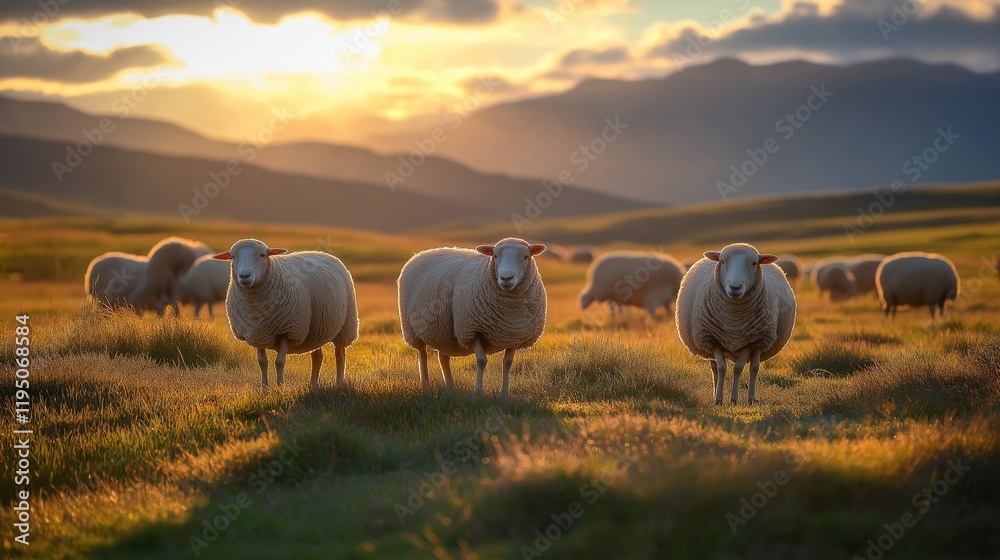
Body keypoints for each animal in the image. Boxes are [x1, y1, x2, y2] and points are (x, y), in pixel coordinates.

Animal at [214, 238, 359, 388]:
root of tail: (323, 253)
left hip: (346, 327)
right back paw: (313, 385)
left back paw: (339, 382)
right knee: (317, 356)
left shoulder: (287, 331)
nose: (244, 276)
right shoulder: (257, 333)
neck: (256, 307)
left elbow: (279, 362)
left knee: (340, 354)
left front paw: (280, 386)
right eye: (233, 257)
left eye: (262, 255)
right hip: (317, 330)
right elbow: (262, 362)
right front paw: (264, 388)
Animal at [397, 238, 547, 396]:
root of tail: (422, 253)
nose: (506, 278)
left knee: (443, 358)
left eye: (526, 256)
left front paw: (504, 393)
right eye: (495, 256)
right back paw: (426, 384)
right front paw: (478, 391)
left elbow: (507, 363)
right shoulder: (473, 330)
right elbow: (481, 361)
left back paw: (451, 387)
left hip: (443, 332)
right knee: (423, 354)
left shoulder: (515, 335)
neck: (510, 312)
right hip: (412, 329)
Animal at [675, 243, 796, 405]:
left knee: (754, 368)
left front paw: (733, 399)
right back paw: (716, 394)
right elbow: (721, 368)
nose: (735, 287)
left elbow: (738, 368)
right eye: (722, 261)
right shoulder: (713, 339)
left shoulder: (750, 342)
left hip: (760, 342)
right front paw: (719, 399)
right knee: (715, 368)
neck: (734, 321)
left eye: (754, 263)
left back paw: (751, 398)